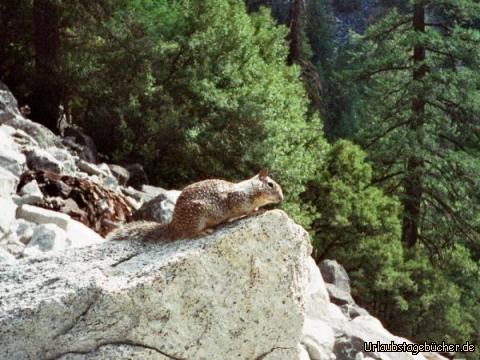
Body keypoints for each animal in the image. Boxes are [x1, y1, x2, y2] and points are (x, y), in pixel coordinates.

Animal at [107, 168, 284, 242]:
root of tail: (173, 225)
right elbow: (245, 210)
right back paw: (203, 232)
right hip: (197, 217)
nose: (281, 198)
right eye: (271, 184)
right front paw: (256, 211)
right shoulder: (238, 198)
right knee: (189, 234)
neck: (250, 188)